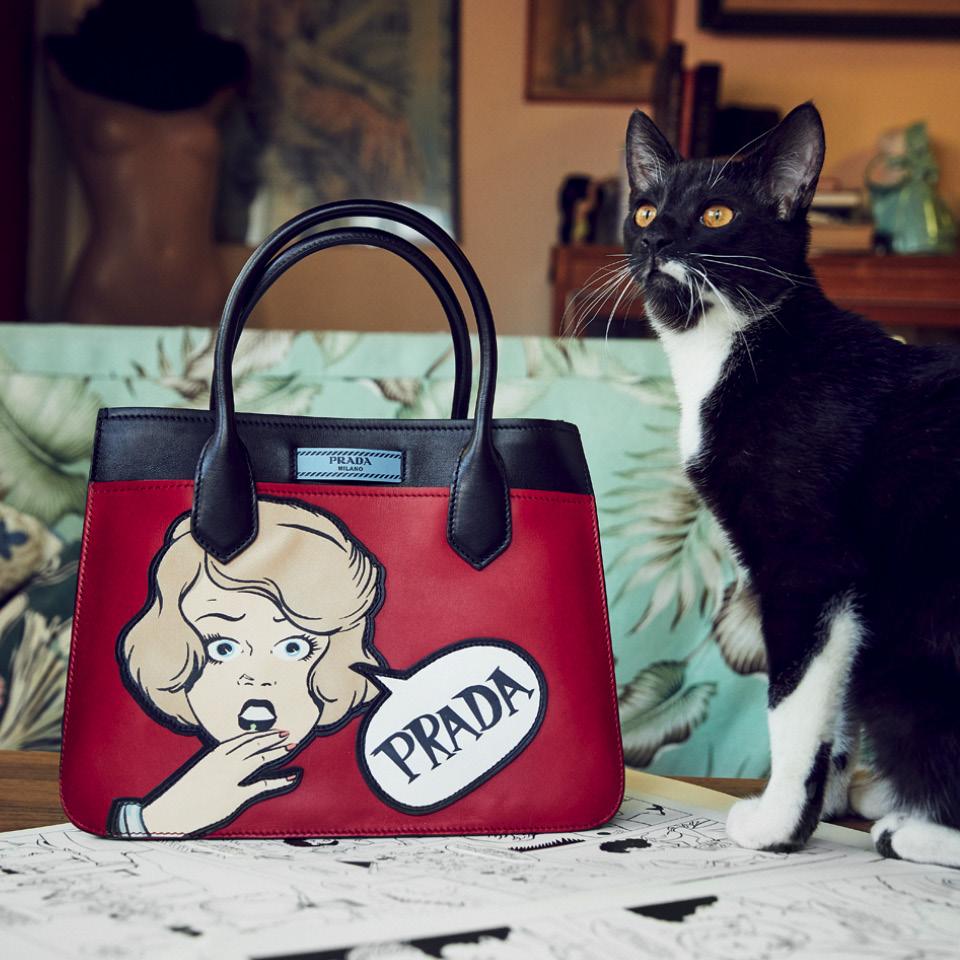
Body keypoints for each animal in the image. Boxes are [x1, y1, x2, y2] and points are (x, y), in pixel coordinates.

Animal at [623, 101, 960, 868]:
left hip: (906, 644)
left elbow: (793, 699)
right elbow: (829, 708)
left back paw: (907, 828)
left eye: (716, 214)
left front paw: (780, 823)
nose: (655, 238)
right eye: (645, 207)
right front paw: (825, 802)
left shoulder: (809, 569)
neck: (733, 347)